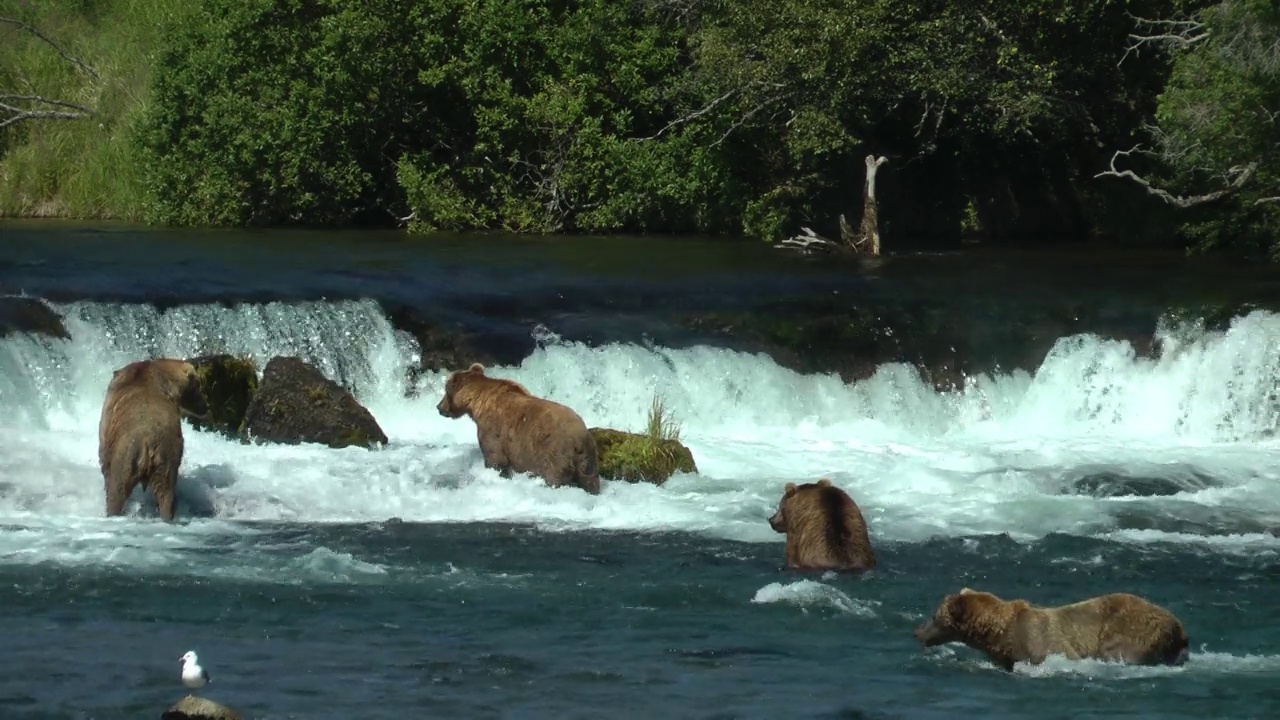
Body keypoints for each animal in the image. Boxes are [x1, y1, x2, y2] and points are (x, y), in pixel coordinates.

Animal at [97, 356, 207, 517]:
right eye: (198, 385)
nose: (206, 406)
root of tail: (148, 441)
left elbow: (104, 461)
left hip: (125, 453)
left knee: (117, 489)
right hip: (167, 456)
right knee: (166, 493)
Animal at [437, 358, 601, 491]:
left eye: (446, 392)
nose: (439, 407)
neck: (479, 403)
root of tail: (580, 439)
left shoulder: (491, 430)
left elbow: (495, 457)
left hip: (555, 454)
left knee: (554, 477)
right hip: (588, 463)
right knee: (591, 482)